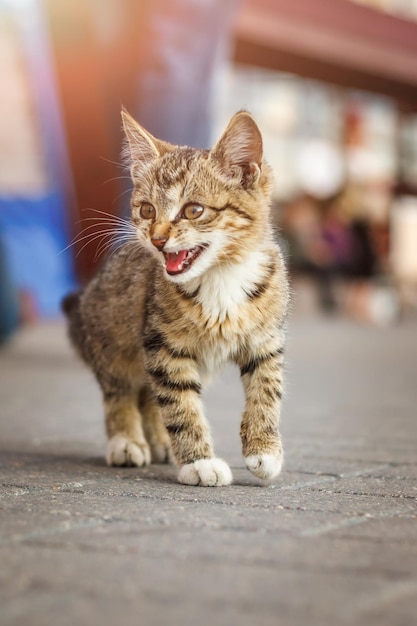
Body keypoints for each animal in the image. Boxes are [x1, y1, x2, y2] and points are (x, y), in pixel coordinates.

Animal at [62, 109, 290, 486]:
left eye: (194, 210)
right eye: (147, 210)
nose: (156, 239)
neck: (220, 277)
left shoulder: (266, 339)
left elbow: (267, 389)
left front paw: (264, 448)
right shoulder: (162, 345)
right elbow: (180, 404)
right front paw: (199, 461)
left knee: (148, 395)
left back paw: (157, 439)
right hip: (112, 336)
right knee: (121, 391)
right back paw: (127, 440)